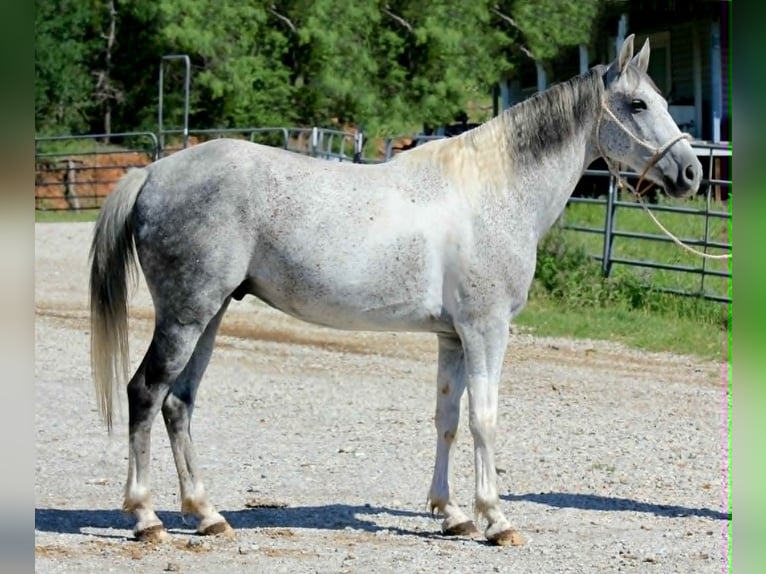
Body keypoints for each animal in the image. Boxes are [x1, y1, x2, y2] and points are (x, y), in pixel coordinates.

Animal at [89, 35, 702, 546]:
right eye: (638, 105)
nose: (692, 174)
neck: (495, 190)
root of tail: (152, 173)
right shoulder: (486, 330)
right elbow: (484, 419)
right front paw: (495, 520)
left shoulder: (453, 338)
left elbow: (447, 419)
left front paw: (451, 514)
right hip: (185, 316)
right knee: (145, 393)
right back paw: (145, 518)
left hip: (211, 314)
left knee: (179, 404)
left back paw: (206, 514)